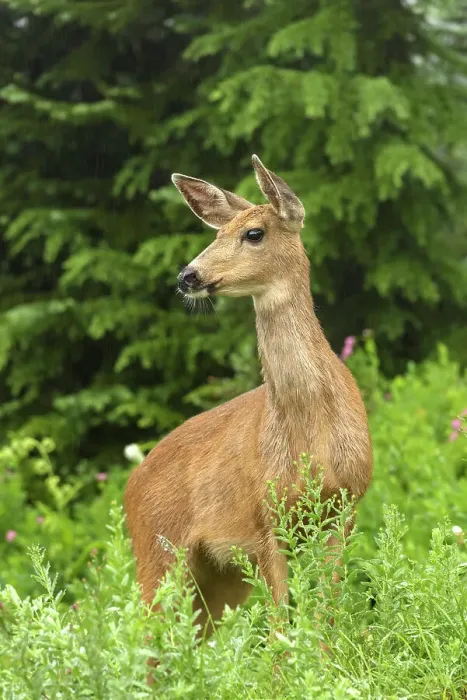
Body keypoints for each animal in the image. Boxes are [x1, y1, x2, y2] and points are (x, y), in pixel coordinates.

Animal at [124, 154, 372, 640]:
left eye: (253, 233)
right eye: (217, 233)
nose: (188, 275)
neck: (312, 432)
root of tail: (128, 487)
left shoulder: (344, 509)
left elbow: (327, 613)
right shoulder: (263, 519)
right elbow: (280, 621)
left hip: (217, 575)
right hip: (159, 552)